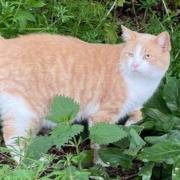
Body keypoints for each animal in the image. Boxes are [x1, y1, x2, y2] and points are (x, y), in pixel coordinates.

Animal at [0, 25, 170, 163]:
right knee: (12, 140)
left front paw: (131, 125)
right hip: (28, 112)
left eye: (147, 56)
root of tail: (6, 43)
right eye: (130, 54)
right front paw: (100, 163)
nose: (134, 65)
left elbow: (139, 114)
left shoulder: (136, 104)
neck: (140, 82)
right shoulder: (101, 117)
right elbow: (99, 144)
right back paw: (32, 162)